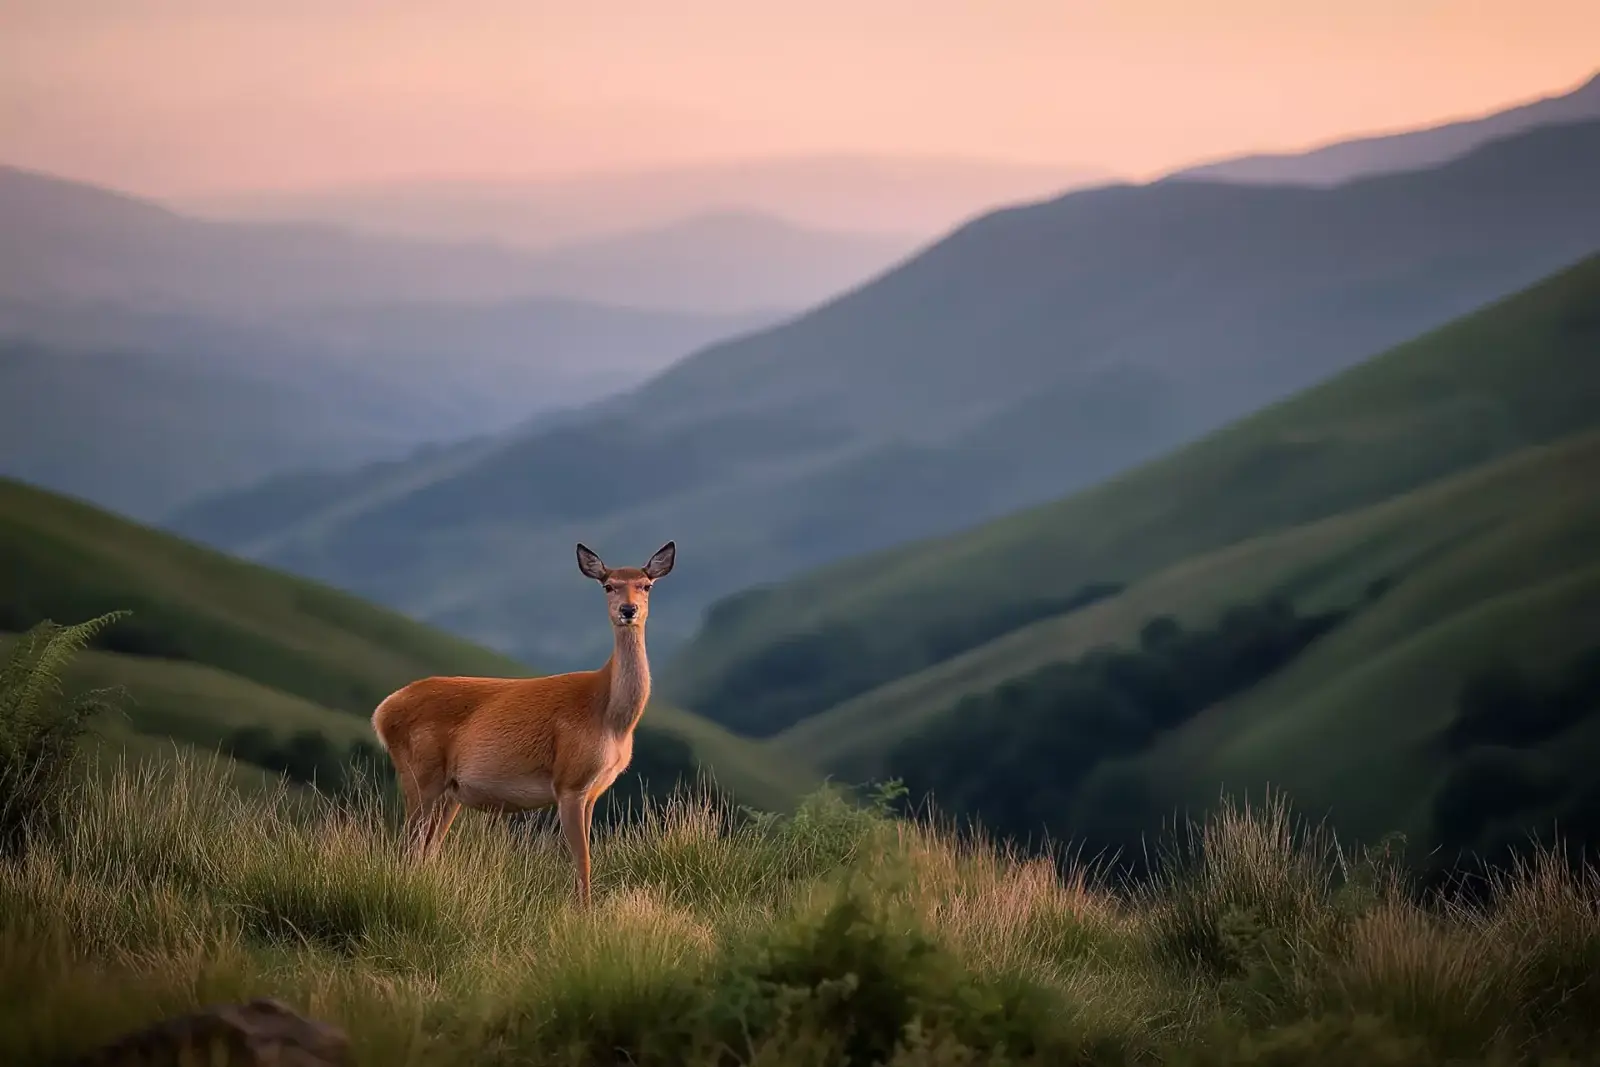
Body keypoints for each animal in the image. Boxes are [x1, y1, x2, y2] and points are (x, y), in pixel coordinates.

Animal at [370, 540, 676, 908]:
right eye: (608, 585)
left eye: (646, 585)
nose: (628, 610)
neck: (610, 717)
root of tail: (382, 712)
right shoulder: (569, 781)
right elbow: (582, 859)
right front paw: (583, 913)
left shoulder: (592, 790)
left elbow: (585, 856)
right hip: (419, 774)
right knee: (408, 847)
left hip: (449, 792)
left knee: (425, 850)